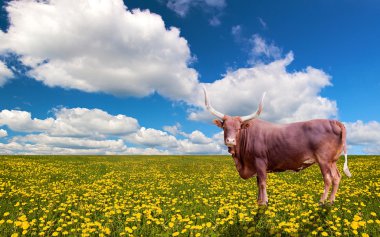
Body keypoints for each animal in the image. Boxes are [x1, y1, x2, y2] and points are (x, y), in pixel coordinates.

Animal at [203, 87, 352, 206]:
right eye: (224, 127)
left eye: (239, 128)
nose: (230, 140)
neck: (241, 160)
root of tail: (332, 121)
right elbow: (258, 182)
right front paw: (258, 201)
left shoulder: (260, 161)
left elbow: (262, 182)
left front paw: (264, 202)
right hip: (332, 161)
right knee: (337, 177)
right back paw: (331, 201)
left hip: (324, 160)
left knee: (328, 178)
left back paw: (322, 201)